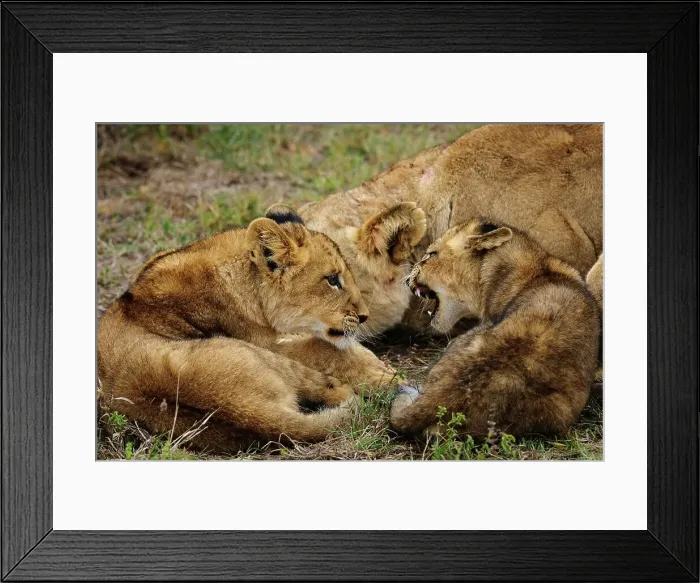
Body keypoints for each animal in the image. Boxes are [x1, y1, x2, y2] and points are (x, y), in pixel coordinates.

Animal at [97, 205, 395, 453]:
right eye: (332, 279)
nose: (364, 316)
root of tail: (246, 413)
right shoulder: (265, 342)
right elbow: (325, 349)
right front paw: (382, 374)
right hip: (255, 353)